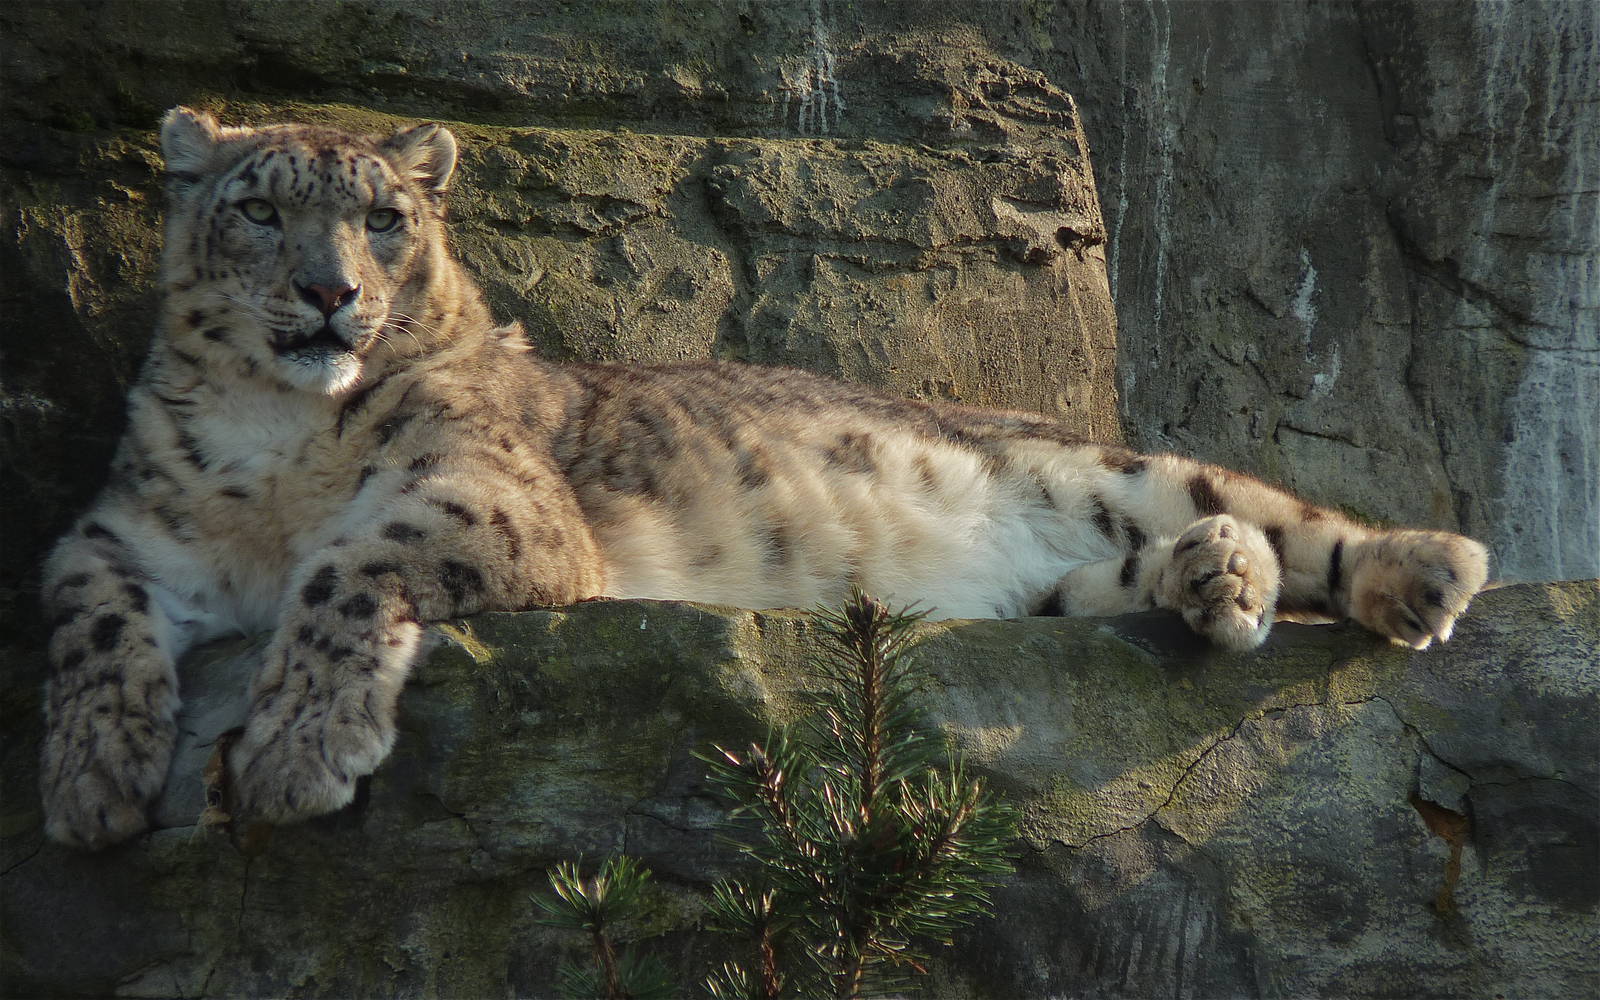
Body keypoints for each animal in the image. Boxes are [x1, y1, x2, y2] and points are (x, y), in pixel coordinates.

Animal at [39, 108, 1491, 849]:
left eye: (384, 217)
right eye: (258, 208)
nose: (330, 293)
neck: (276, 444)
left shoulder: (487, 494)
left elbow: (350, 561)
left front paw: (295, 748)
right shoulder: (124, 530)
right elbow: (83, 611)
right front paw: (95, 773)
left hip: (1108, 464)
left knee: (1281, 516)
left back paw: (1421, 569)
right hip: (1040, 588)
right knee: (1113, 584)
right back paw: (1216, 581)